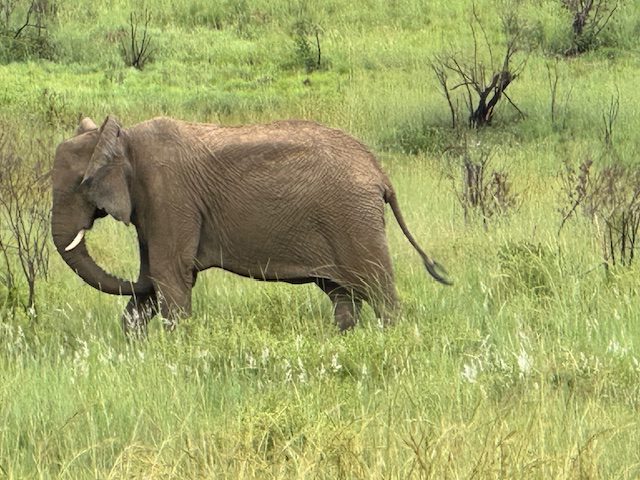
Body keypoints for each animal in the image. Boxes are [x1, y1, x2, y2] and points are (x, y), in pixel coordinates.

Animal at [51, 116, 450, 334]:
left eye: (82, 185)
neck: (126, 137)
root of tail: (379, 171)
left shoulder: (169, 195)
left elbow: (169, 274)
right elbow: (158, 277)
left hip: (354, 218)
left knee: (378, 289)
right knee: (343, 296)